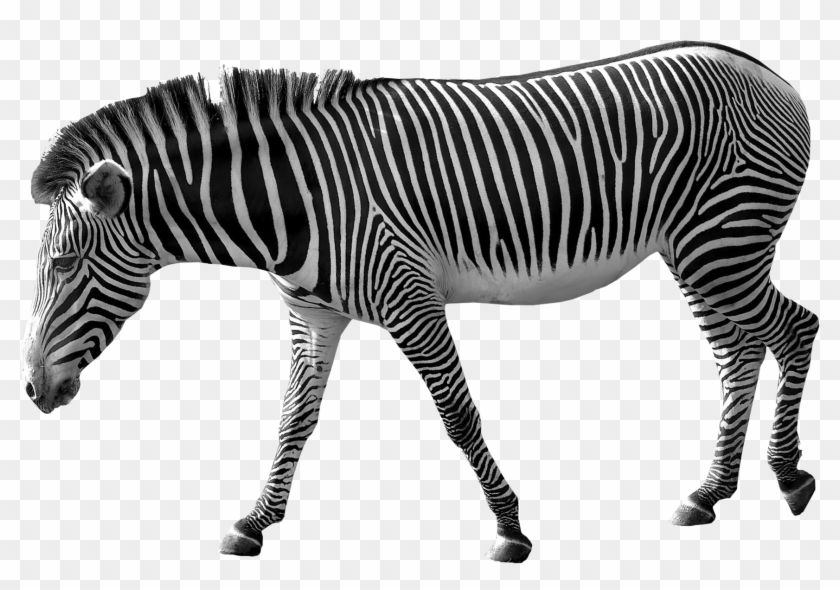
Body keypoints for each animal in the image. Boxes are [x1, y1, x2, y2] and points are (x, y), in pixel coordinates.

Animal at [22, 41, 819, 563]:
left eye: (62, 264)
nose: (31, 392)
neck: (289, 205)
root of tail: (771, 73)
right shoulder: (313, 312)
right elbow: (294, 420)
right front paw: (255, 521)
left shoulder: (410, 299)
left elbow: (458, 416)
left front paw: (509, 527)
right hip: (697, 250)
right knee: (741, 353)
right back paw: (710, 492)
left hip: (721, 241)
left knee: (795, 328)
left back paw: (789, 477)